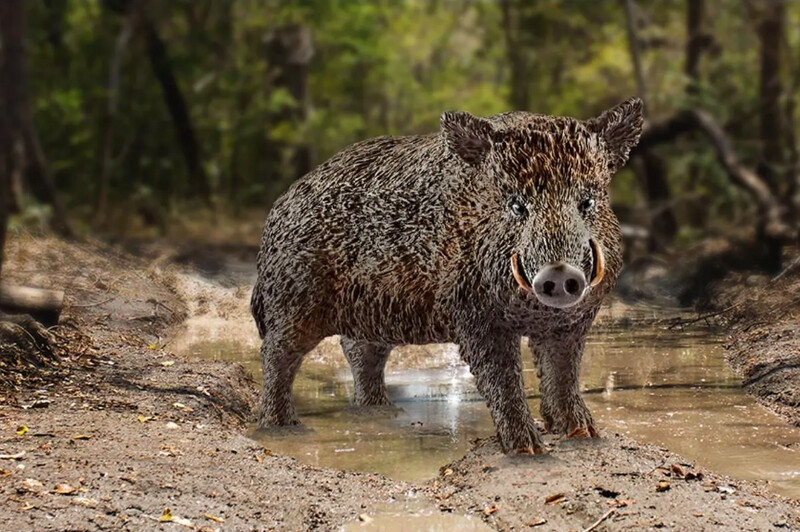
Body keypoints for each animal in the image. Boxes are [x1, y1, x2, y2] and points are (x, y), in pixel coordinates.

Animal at [251, 98, 643, 453]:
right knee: (276, 354)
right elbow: (502, 378)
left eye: (587, 201)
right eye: (517, 205)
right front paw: (527, 450)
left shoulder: (572, 323)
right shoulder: (474, 315)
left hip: (371, 310)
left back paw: (380, 412)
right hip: (292, 300)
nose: (560, 273)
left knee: (359, 351)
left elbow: (563, 374)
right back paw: (284, 428)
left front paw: (585, 435)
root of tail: (275, 213)